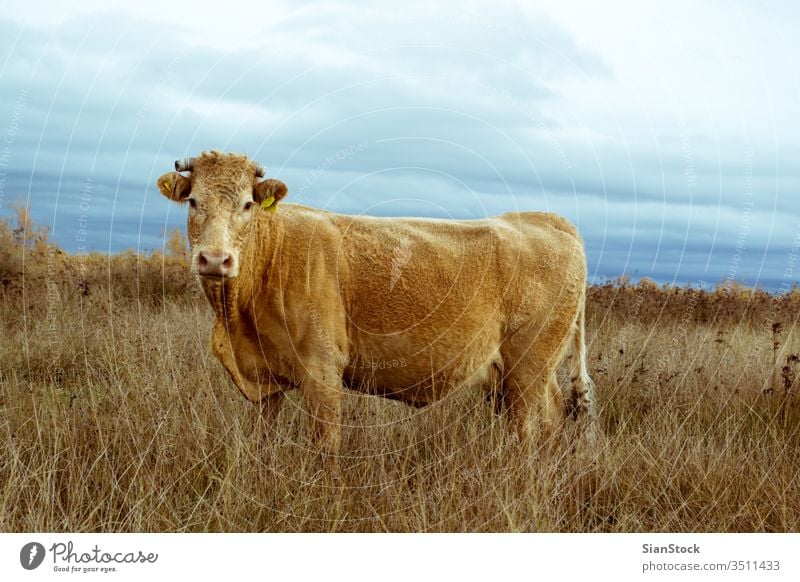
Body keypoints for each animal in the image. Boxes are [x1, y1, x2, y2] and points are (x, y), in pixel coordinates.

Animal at [158, 152, 592, 470]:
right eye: (193, 201)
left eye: (248, 204)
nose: (216, 260)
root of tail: (547, 219)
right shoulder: (265, 381)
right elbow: (264, 441)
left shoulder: (322, 369)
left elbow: (326, 446)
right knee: (553, 419)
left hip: (529, 368)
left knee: (531, 429)